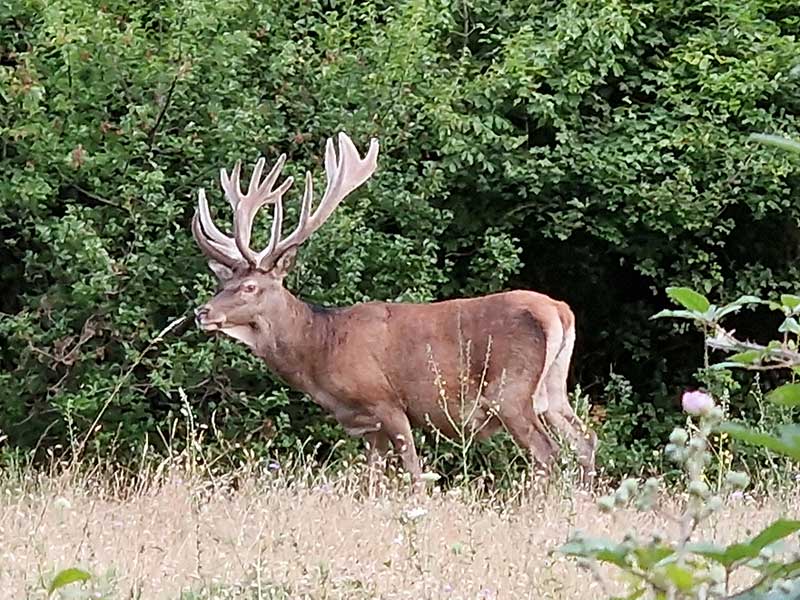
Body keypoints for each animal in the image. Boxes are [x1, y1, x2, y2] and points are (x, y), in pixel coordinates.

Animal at [191, 132, 598, 486]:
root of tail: (560, 311)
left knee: (546, 452)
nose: (202, 313)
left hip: (510, 390)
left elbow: (415, 472)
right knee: (585, 441)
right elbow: (372, 481)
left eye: (250, 286)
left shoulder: (386, 401)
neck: (321, 347)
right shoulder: (369, 426)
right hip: (553, 388)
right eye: (221, 283)